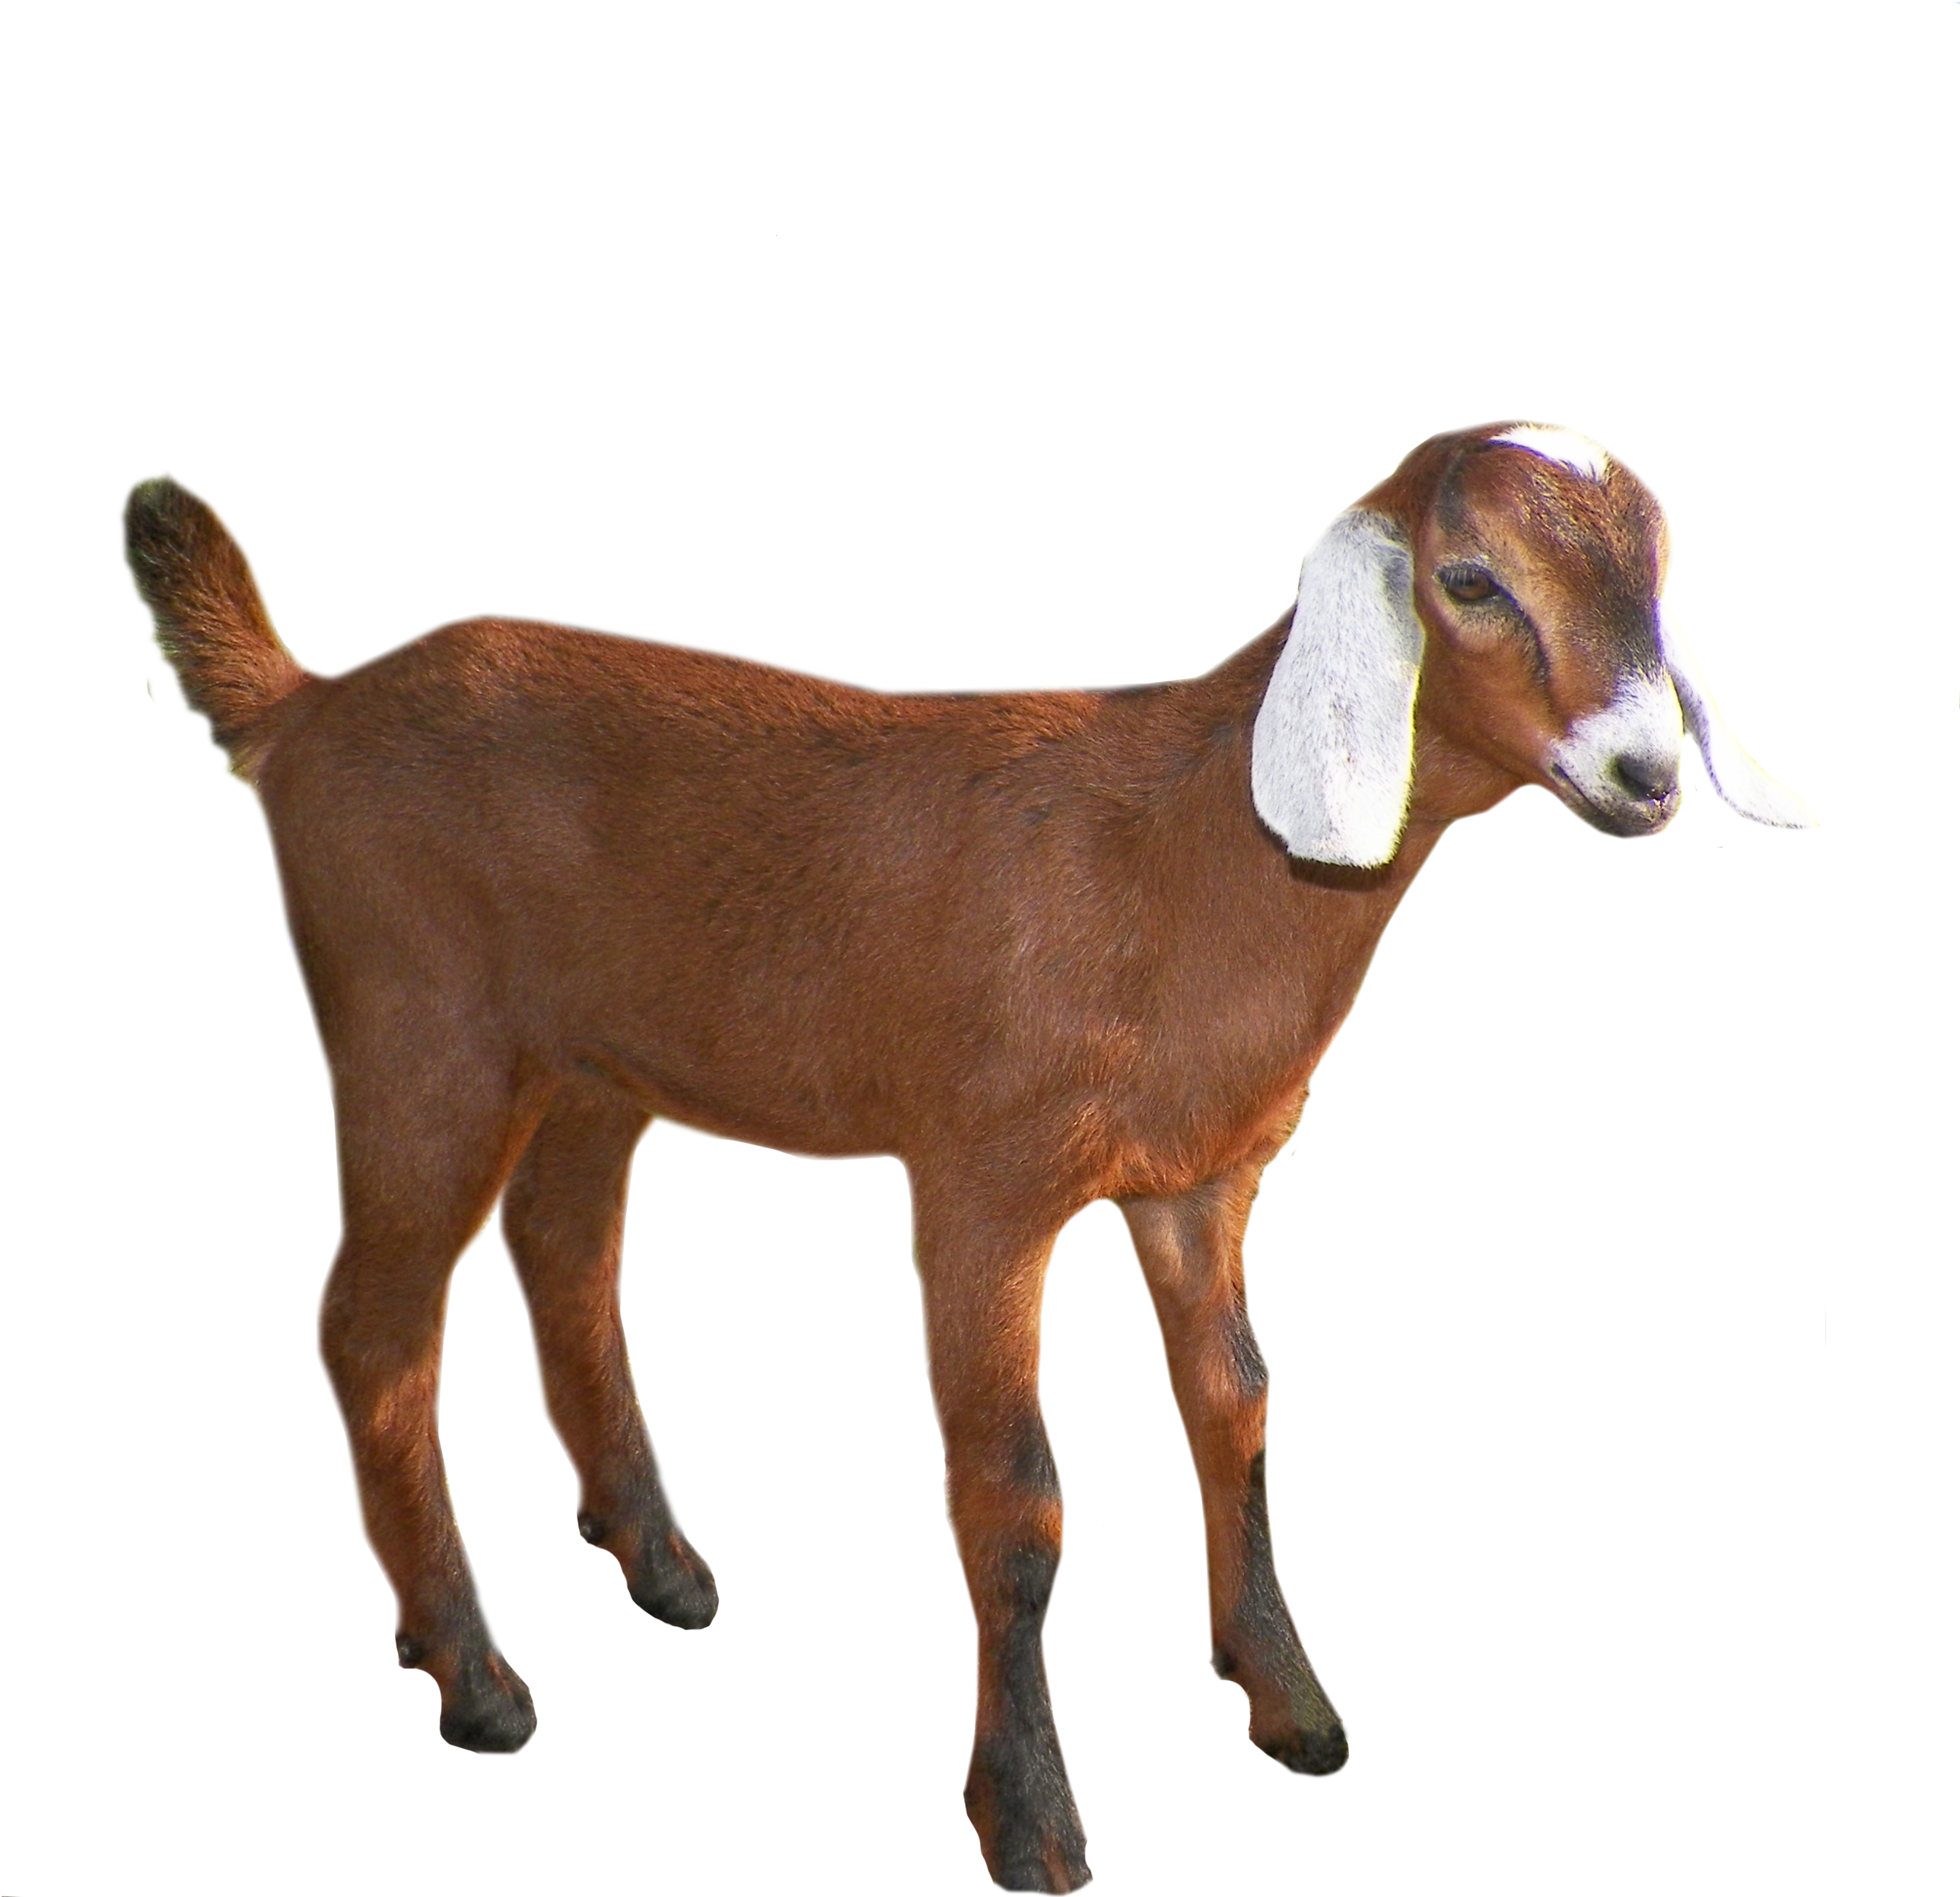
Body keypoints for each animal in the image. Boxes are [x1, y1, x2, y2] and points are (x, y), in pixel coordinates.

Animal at [122, 421, 1814, 1896]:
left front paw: (1289, 1702)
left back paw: (657, 1560)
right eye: (1467, 578)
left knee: (567, 1258)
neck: (1189, 851)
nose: (1646, 774)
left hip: (596, 1063)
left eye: (1658, 573)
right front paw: (1030, 1819)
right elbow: (1012, 1497)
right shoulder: (981, 1181)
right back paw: (473, 1671)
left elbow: (1239, 1407)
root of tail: (302, 706)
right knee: (372, 1329)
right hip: (414, 1035)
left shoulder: (1200, 1179)